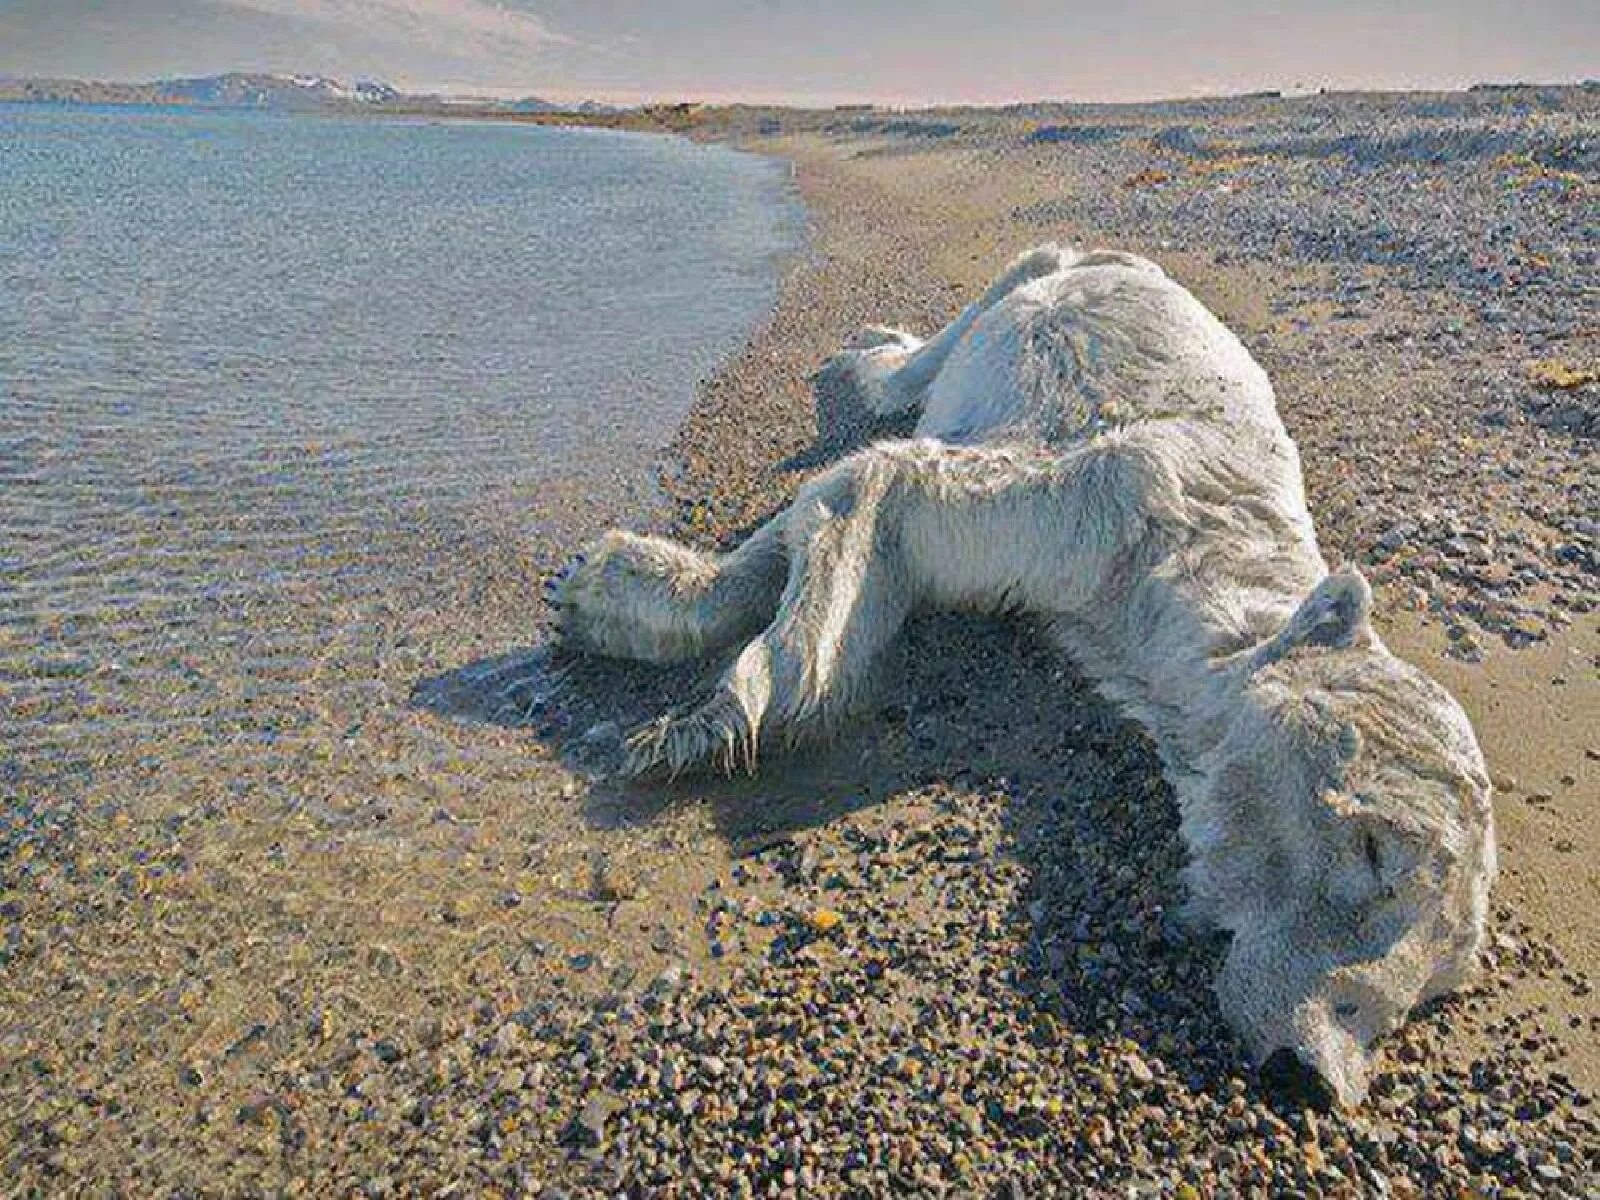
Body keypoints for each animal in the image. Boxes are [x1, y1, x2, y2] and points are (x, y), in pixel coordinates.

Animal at [556, 244, 1491, 1107]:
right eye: (1373, 848)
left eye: (1438, 981)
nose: (1316, 1078)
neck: (1210, 549)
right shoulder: (1117, 499)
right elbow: (873, 480)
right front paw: (679, 694)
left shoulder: (1092, 572)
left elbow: (857, 508)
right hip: (1048, 277)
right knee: (988, 303)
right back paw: (876, 351)